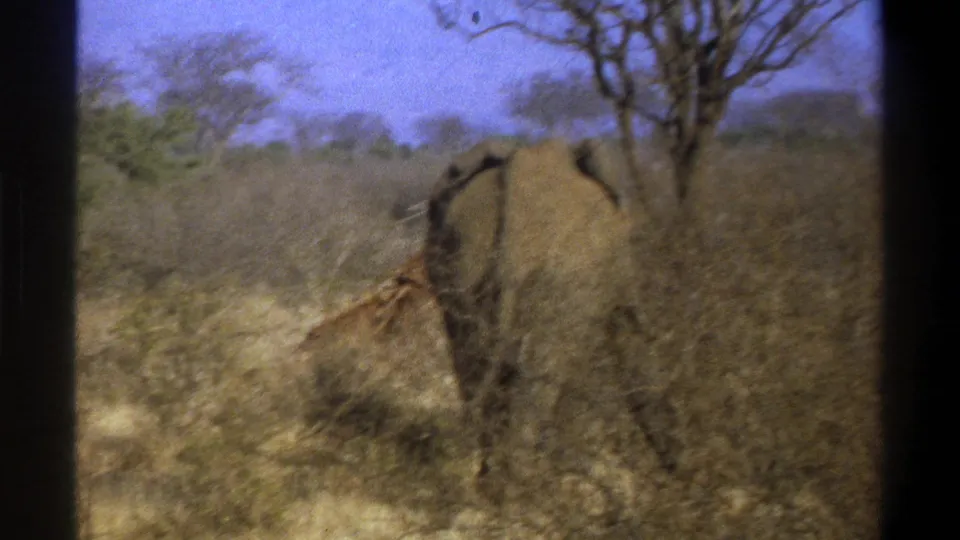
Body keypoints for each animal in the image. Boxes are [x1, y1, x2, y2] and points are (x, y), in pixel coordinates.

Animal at [423, 138, 680, 504]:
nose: (679, 475)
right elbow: (628, 338)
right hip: (561, 277)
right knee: (540, 371)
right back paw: (522, 493)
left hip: (460, 259)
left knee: (472, 358)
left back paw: (486, 482)